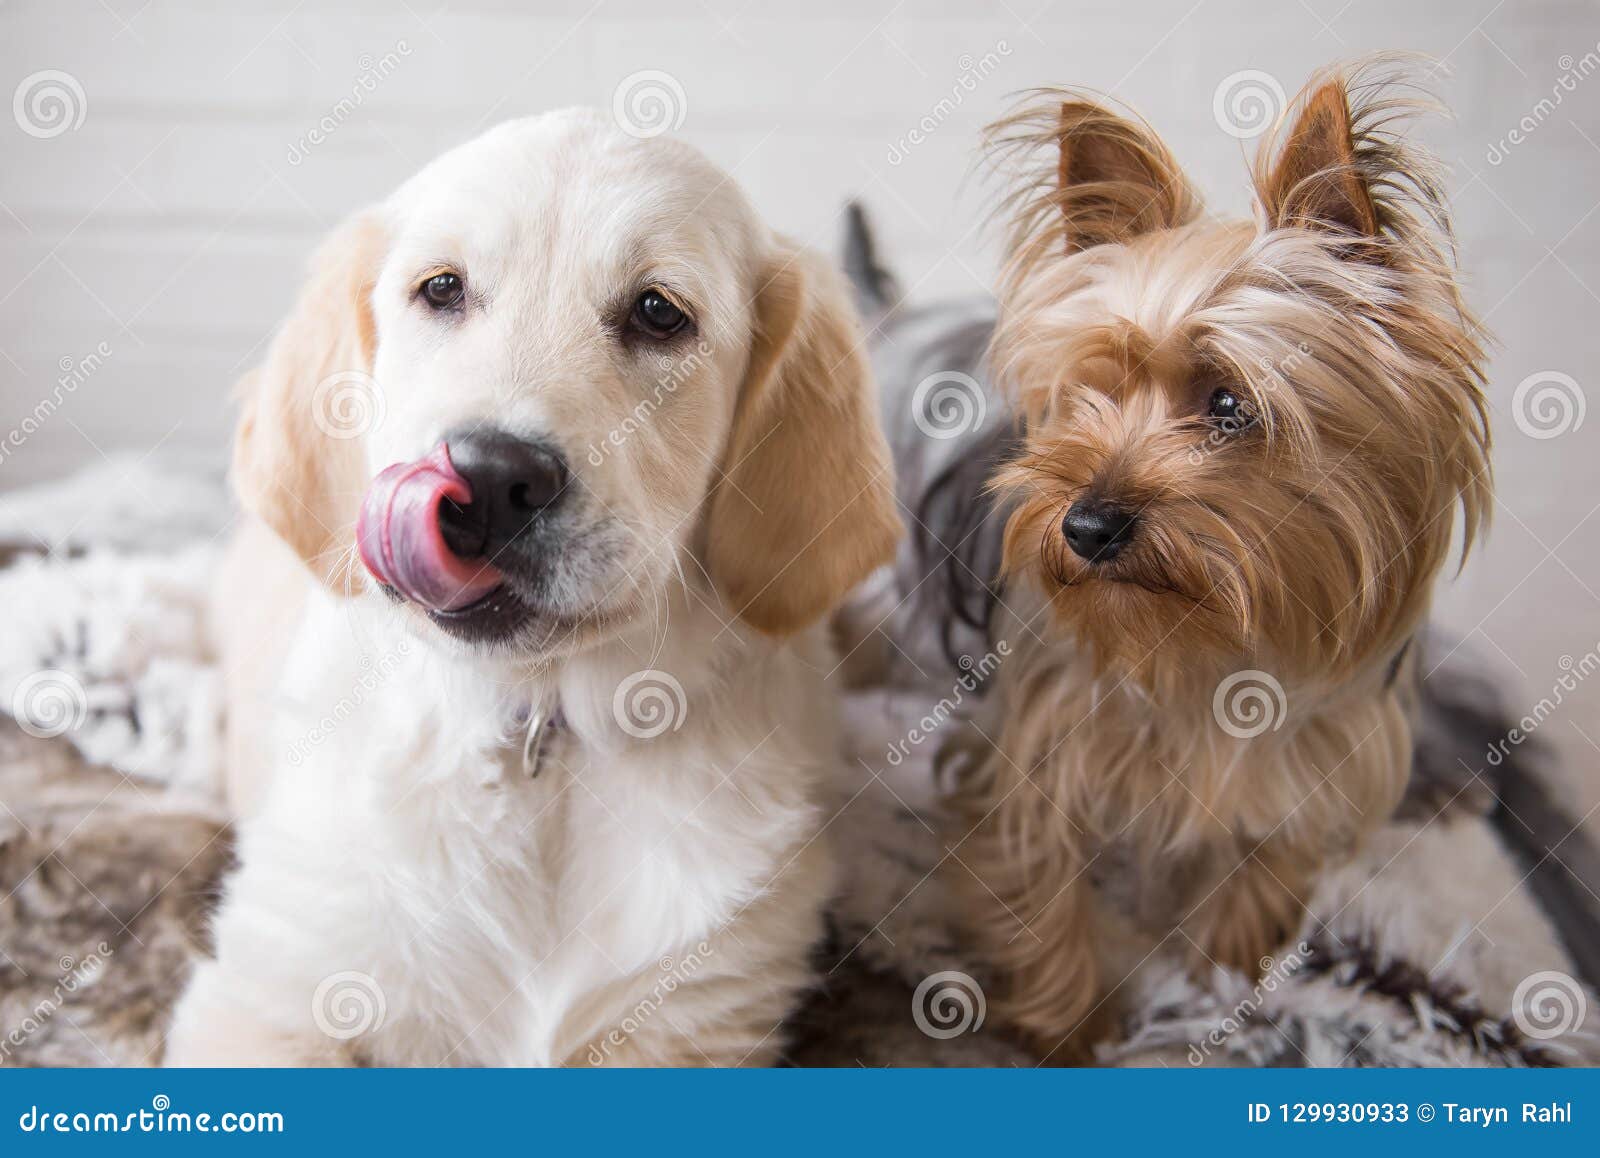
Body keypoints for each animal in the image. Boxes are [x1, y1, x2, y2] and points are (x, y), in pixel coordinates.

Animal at [172, 111, 915, 1068]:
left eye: (658, 313)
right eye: (441, 289)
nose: (491, 480)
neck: (541, 733)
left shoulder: (694, 1019)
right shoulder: (273, 993)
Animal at [947, 58, 1484, 1062]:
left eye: (1230, 404)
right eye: (1091, 394)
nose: (1085, 526)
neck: (1207, 640)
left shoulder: (1312, 763)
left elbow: (1255, 888)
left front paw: (1218, 997)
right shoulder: (1034, 735)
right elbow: (1045, 886)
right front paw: (1073, 1031)